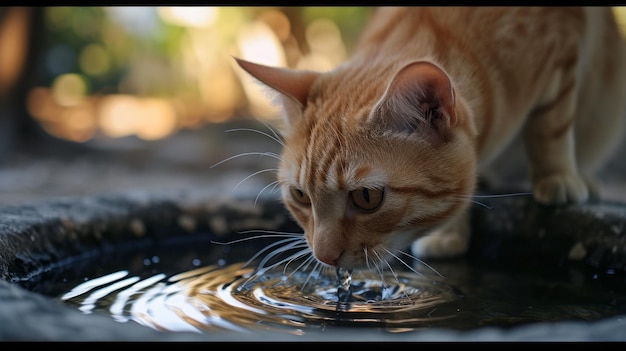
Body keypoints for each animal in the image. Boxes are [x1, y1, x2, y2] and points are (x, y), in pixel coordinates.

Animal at [234, 6, 624, 270]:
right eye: (300, 195)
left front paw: (556, 175)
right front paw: (449, 234)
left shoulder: (563, 45)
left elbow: (549, 126)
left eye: (367, 197)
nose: (324, 257)